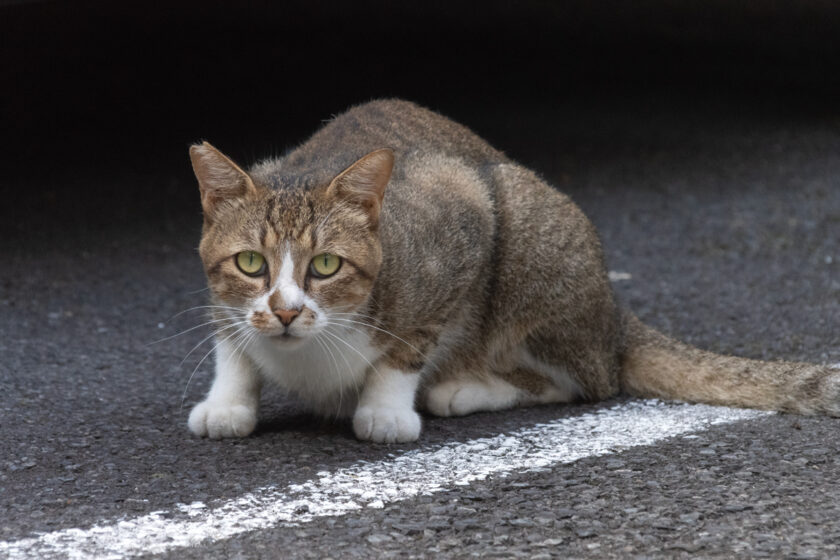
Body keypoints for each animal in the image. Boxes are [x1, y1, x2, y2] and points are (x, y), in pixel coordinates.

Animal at [185, 99, 840, 442]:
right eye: (250, 263)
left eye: (324, 265)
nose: (286, 310)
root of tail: (613, 313)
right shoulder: (224, 299)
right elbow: (231, 339)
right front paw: (229, 400)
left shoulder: (461, 218)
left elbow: (409, 344)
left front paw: (384, 409)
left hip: (528, 233)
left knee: (588, 380)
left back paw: (465, 388)